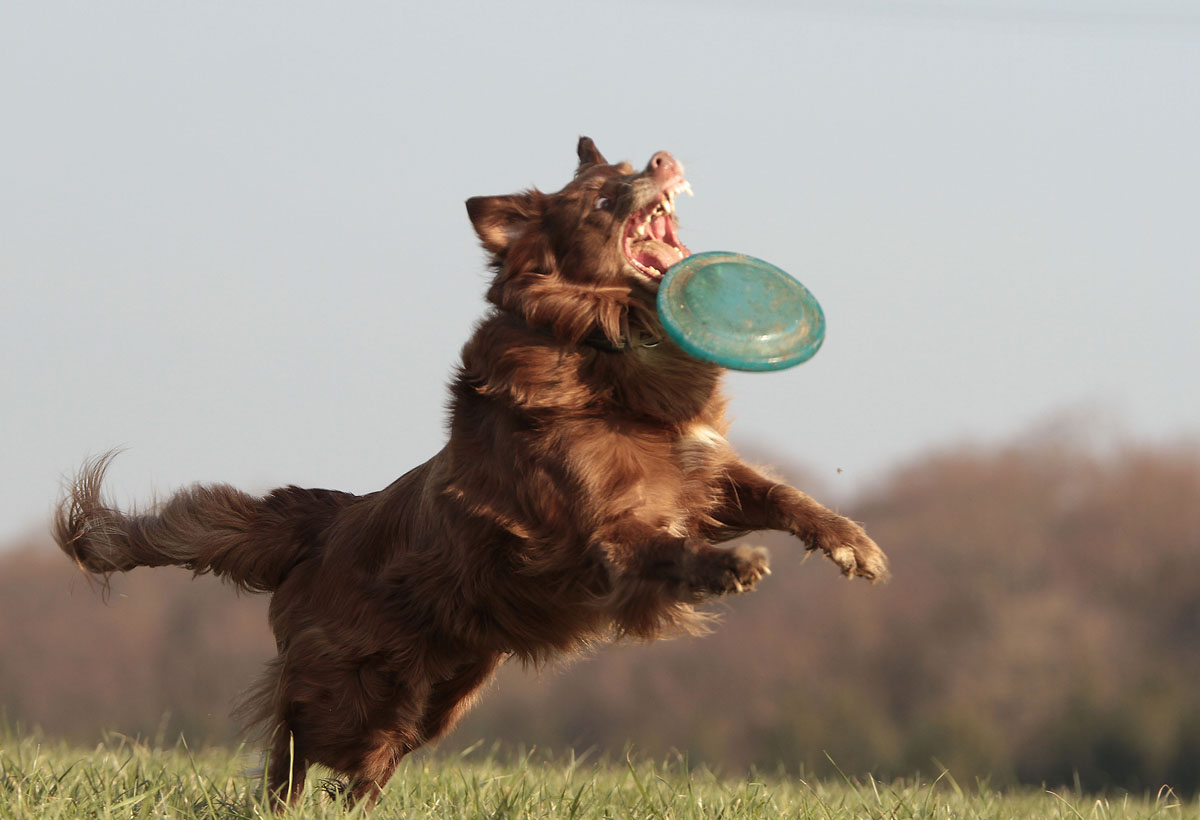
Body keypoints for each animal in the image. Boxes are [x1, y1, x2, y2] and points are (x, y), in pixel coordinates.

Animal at [56, 139, 888, 806]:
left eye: (631, 164)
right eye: (603, 197)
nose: (662, 158)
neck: (604, 353)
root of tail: (327, 520)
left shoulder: (705, 472)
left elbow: (785, 496)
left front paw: (854, 544)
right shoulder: (602, 533)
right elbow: (667, 550)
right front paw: (731, 565)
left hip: (440, 695)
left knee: (371, 762)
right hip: (353, 685)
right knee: (293, 738)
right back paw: (283, 803)